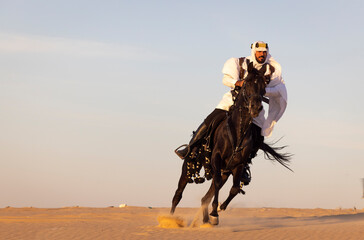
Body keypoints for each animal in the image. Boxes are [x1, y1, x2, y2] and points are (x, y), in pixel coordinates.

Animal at [170, 62, 290, 225]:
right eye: (246, 84)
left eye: (263, 87)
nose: (255, 108)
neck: (236, 132)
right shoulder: (216, 158)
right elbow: (216, 184)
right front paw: (215, 213)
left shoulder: (237, 165)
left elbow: (234, 188)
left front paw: (219, 210)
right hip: (189, 165)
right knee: (178, 194)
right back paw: (170, 219)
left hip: (224, 172)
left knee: (205, 197)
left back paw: (205, 220)